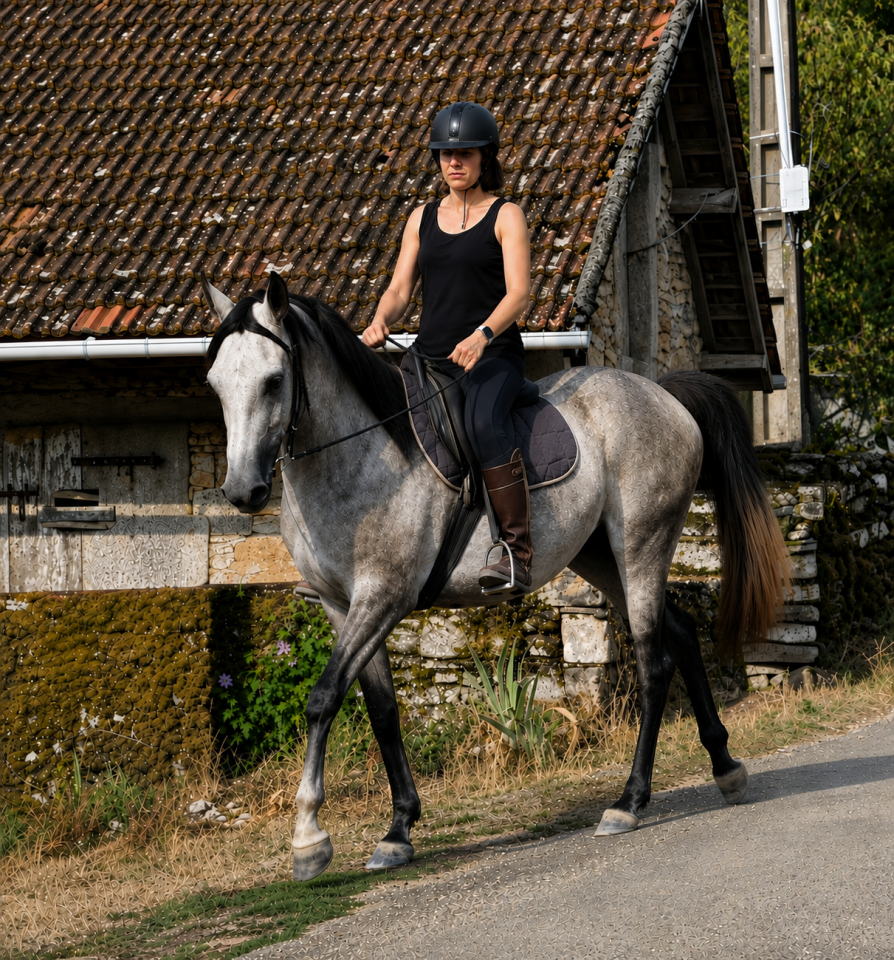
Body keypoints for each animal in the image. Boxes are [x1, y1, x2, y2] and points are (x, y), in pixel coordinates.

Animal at [202, 271, 790, 880]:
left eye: (274, 381)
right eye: (215, 383)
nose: (243, 491)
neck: (361, 458)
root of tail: (664, 395)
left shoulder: (382, 598)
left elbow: (322, 699)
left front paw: (309, 838)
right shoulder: (341, 606)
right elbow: (382, 712)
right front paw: (399, 830)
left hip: (642, 547)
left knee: (655, 664)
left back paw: (629, 802)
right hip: (602, 557)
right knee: (682, 633)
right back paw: (725, 766)